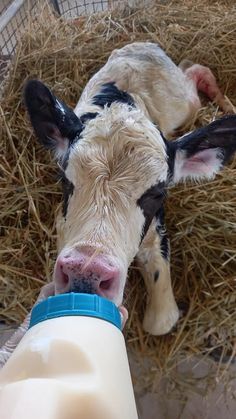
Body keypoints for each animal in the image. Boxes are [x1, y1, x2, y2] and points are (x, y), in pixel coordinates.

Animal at [24, 42, 236, 336]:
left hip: (181, 103)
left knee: (196, 73)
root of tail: (142, 46)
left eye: (157, 194)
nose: (86, 272)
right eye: (65, 180)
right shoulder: (61, 222)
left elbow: (161, 322)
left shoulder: (156, 232)